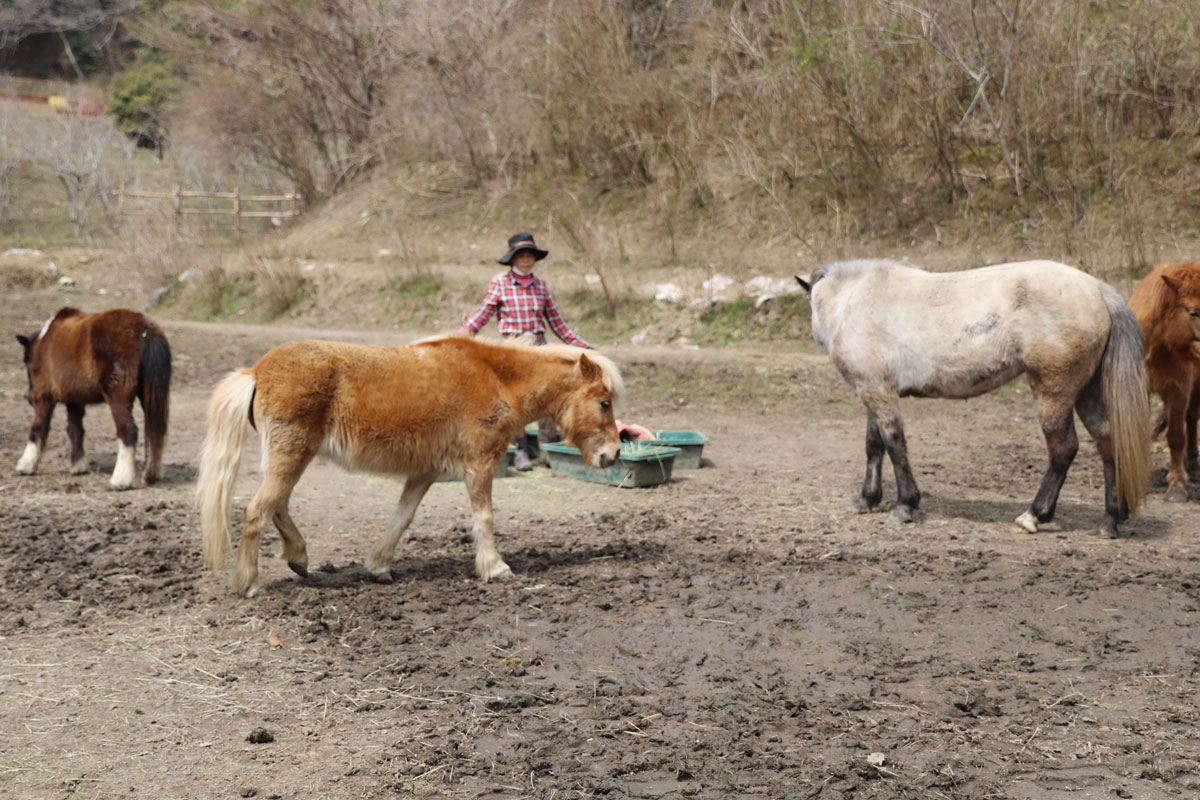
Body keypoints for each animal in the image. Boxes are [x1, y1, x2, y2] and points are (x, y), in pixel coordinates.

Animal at [16, 307, 171, 490]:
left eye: (26, 360)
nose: (28, 397)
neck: (44, 343)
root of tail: (145, 328)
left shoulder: (43, 396)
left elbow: (39, 427)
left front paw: (26, 465)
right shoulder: (74, 400)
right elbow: (75, 430)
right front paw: (78, 466)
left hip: (118, 396)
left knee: (129, 430)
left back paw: (121, 480)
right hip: (150, 394)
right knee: (156, 430)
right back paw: (152, 474)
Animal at [197, 336, 623, 597]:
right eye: (604, 402)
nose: (613, 455)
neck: (496, 378)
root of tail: (257, 371)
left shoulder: (424, 472)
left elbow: (401, 518)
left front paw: (379, 566)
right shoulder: (480, 465)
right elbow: (484, 518)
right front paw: (494, 568)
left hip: (287, 458)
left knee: (277, 506)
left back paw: (298, 558)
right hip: (291, 457)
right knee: (257, 511)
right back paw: (248, 583)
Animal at [796, 259, 1150, 538]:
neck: (855, 300)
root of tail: (1097, 289)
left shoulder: (876, 390)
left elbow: (895, 444)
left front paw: (904, 505)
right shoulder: (874, 388)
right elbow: (875, 445)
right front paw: (867, 500)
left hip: (1054, 392)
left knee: (1063, 450)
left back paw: (1034, 516)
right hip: (1087, 393)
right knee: (1108, 444)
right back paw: (1110, 519)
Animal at [1129, 260, 1200, 502]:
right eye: (1194, 313)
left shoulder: (1179, 389)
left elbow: (1176, 436)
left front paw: (1177, 483)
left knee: (1192, 419)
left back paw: (1192, 462)